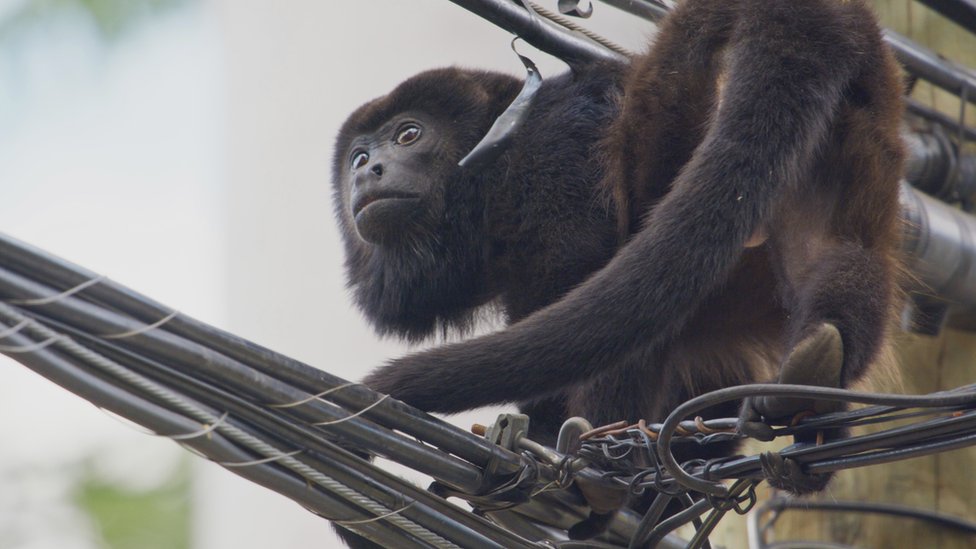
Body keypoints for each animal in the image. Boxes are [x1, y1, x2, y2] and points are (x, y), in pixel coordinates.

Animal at [331, 0, 904, 543]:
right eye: (357, 156)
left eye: (409, 134)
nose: (367, 171)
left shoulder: (554, 157)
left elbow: (575, 279)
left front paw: (543, 440)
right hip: (860, 117)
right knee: (835, 250)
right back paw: (814, 383)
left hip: (679, 111)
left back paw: (594, 467)